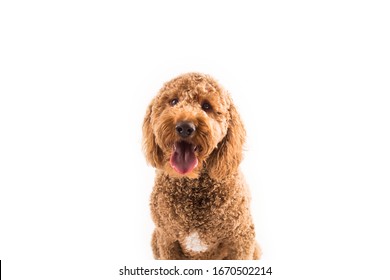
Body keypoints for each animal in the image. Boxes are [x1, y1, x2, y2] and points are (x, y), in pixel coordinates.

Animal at [142, 72, 260, 260]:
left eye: (206, 106)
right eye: (174, 101)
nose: (184, 127)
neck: (191, 184)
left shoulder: (241, 238)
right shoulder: (167, 239)